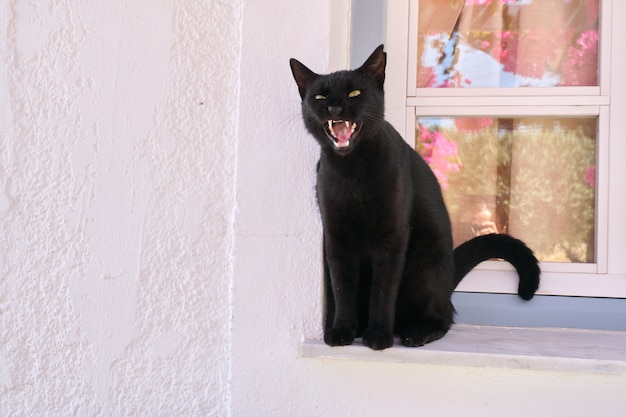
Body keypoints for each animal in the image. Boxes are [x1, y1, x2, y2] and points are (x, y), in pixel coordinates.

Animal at [288, 45, 536, 350]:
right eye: (320, 96)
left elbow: (383, 289)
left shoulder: (393, 236)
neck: (351, 170)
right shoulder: (336, 236)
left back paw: (414, 333)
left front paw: (379, 336)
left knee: (443, 317)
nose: (334, 107)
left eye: (354, 93)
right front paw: (342, 331)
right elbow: (342, 286)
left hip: (424, 264)